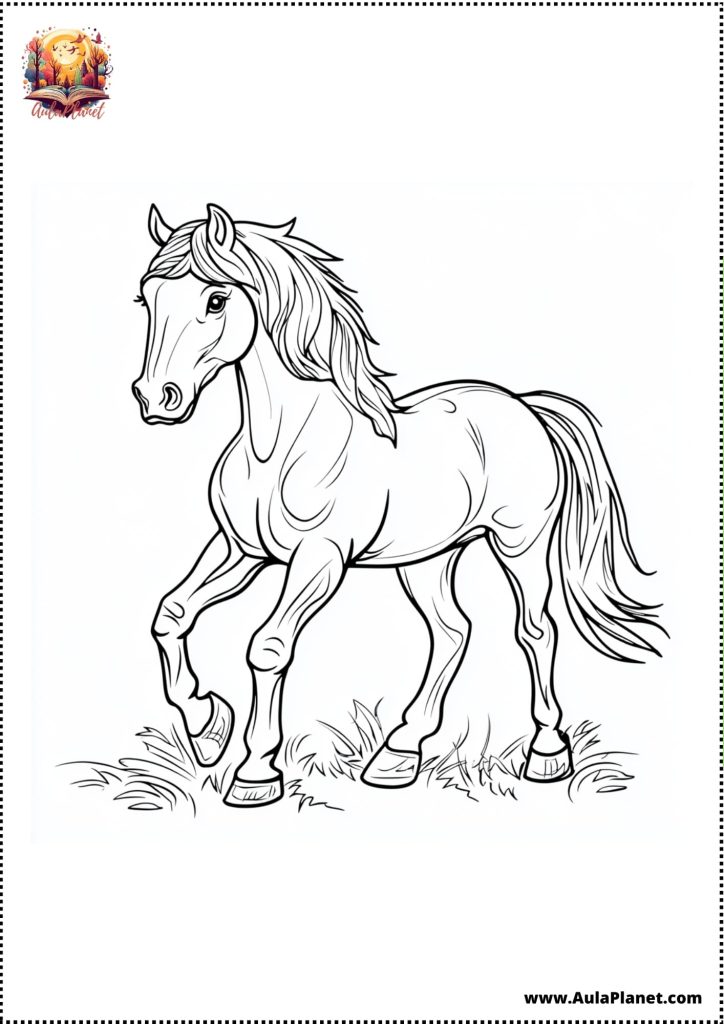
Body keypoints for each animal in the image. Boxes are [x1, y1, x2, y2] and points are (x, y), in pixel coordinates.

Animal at [132, 202, 663, 808]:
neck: (282, 445)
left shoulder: (319, 559)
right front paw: (207, 727)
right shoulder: (243, 551)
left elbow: (267, 648)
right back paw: (397, 755)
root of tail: (526, 407)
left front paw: (255, 773)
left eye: (216, 300)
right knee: (453, 631)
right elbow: (171, 615)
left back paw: (546, 754)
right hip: (428, 559)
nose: (156, 399)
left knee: (535, 630)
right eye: (146, 298)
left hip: (519, 546)